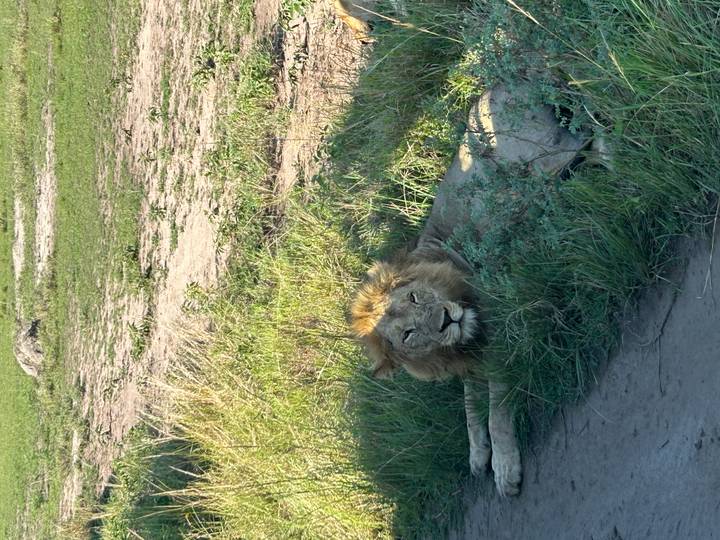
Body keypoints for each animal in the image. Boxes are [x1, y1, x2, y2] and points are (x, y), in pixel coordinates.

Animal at [350, 81, 599, 496]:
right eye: (409, 334)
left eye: (414, 296)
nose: (445, 321)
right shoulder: (468, 357)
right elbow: (469, 406)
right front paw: (477, 455)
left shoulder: (500, 330)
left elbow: (495, 407)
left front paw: (504, 466)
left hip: (532, 161)